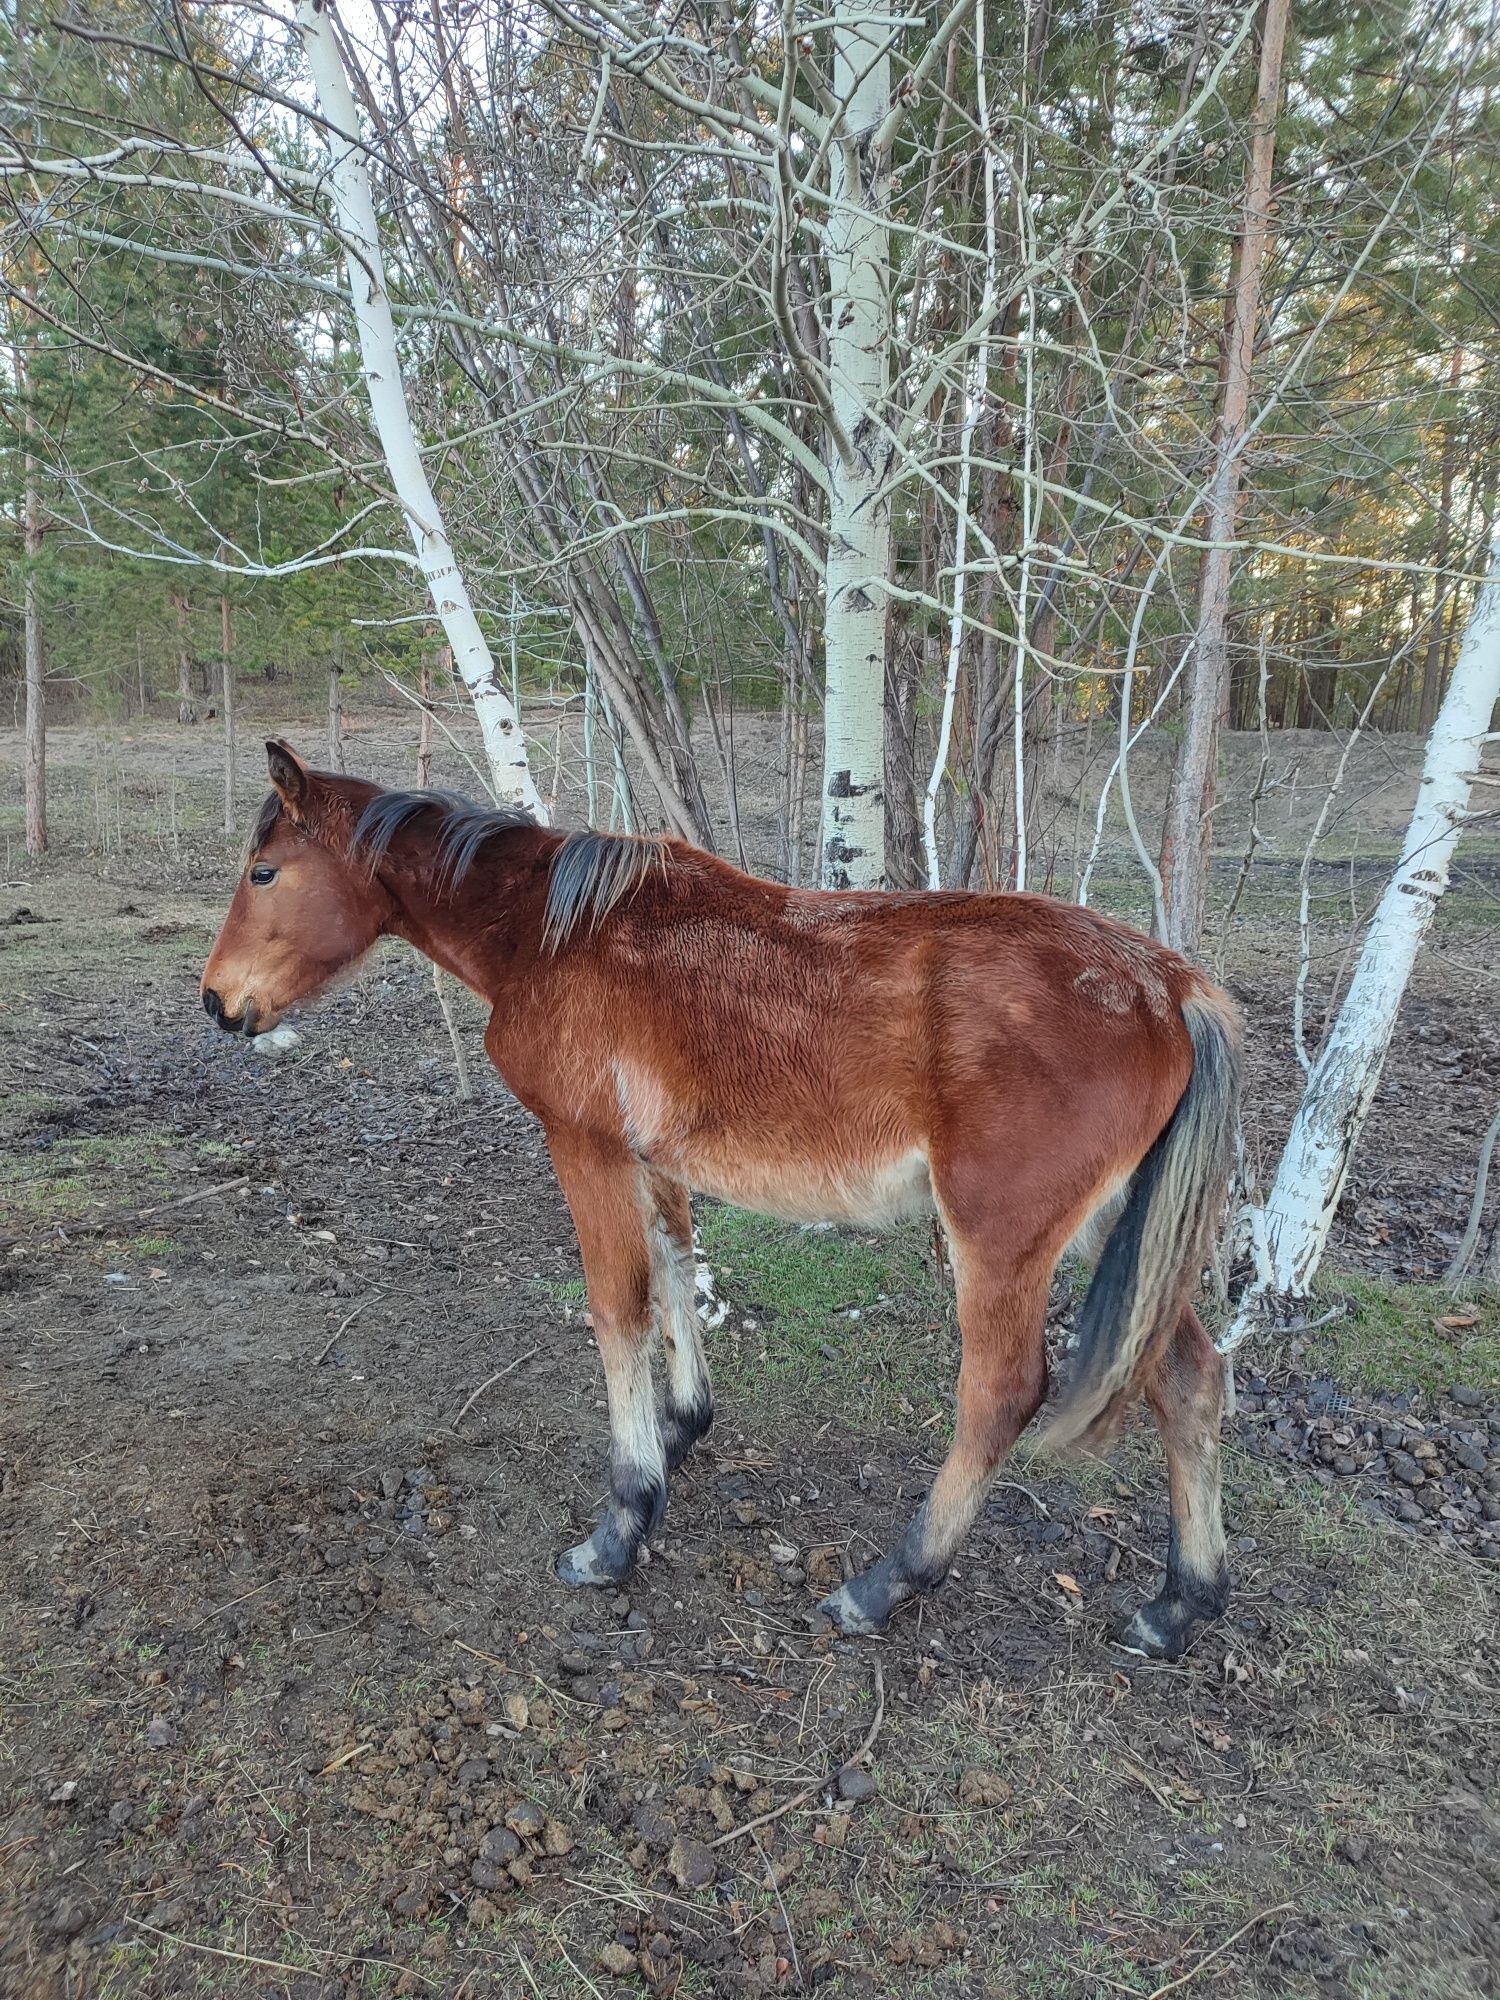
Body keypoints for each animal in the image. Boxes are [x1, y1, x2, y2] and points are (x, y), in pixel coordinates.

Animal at [212, 748, 1248, 1656]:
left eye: (264, 871)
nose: (219, 1002)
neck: (551, 929)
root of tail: (1168, 986)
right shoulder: (653, 1159)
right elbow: (676, 1274)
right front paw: (680, 1430)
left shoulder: (584, 1147)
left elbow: (616, 1310)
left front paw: (621, 1524)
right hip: (1118, 1233)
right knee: (1189, 1378)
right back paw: (1179, 1606)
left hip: (1001, 1240)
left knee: (1000, 1396)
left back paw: (885, 1584)